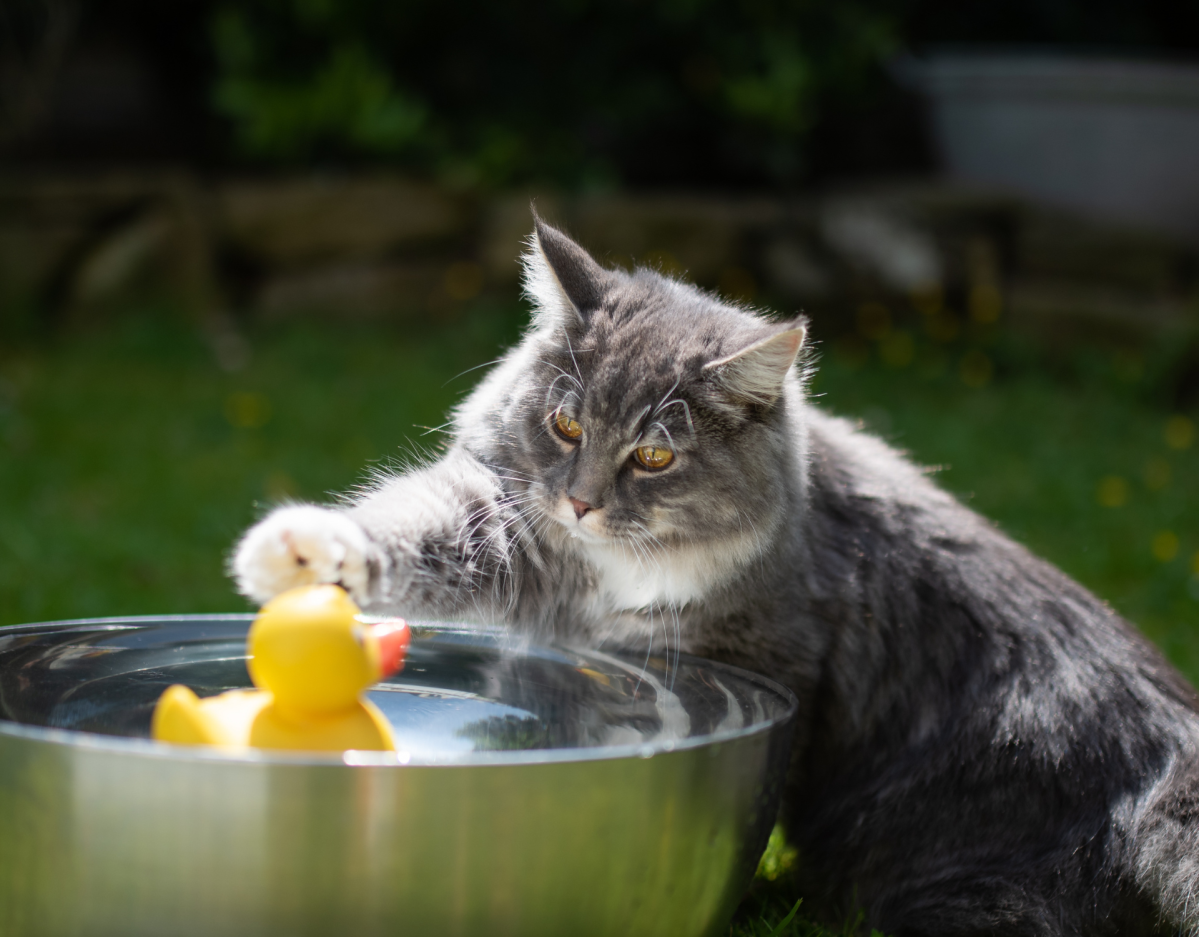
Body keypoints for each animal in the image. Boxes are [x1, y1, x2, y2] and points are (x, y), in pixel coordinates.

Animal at [233, 213, 1199, 935]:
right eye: (567, 425)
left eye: (655, 454)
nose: (580, 502)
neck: (614, 570)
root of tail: (1164, 765)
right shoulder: (514, 533)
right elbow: (411, 527)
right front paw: (299, 551)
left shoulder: (767, 656)